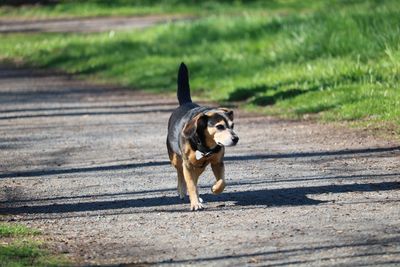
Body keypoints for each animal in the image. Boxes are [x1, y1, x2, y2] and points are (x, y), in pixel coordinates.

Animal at [166, 63, 238, 211]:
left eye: (232, 125)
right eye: (219, 126)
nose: (236, 139)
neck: (205, 145)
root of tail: (185, 103)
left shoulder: (217, 162)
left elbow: (222, 181)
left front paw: (215, 188)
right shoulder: (187, 165)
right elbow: (191, 185)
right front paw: (195, 203)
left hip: (200, 166)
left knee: (195, 177)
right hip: (176, 159)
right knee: (181, 174)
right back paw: (182, 191)